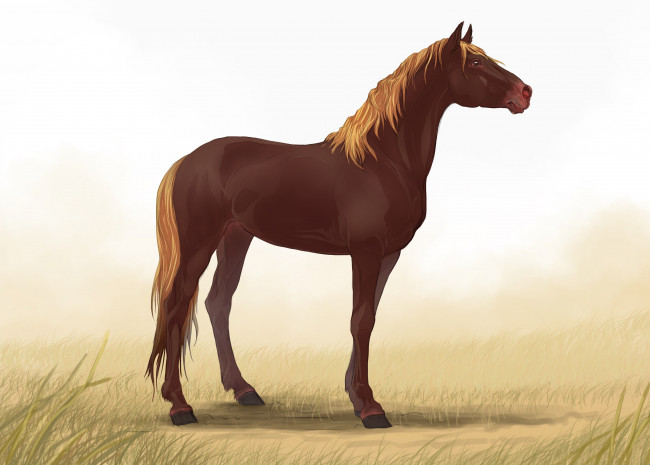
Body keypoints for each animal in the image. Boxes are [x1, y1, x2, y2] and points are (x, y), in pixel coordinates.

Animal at [146, 22, 532, 429]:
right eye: (475, 62)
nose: (525, 93)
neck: (383, 161)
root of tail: (187, 161)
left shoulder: (388, 255)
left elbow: (368, 318)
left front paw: (356, 397)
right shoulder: (365, 252)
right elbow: (360, 321)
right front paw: (371, 408)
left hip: (236, 238)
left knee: (218, 303)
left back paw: (244, 391)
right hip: (199, 244)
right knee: (176, 306)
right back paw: (179, 406)